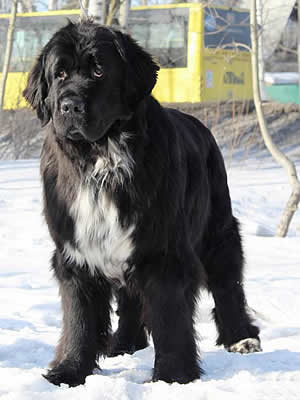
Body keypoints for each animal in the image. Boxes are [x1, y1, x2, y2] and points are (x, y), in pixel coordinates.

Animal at [23, 19, 262, 388]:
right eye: (59, 74)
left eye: (98, 70)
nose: (70, 105)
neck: (101, 160)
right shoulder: (76, 253)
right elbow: (79, 320)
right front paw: (69, 371)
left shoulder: (164, 251)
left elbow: (169, 317)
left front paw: (172, 377)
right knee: (129, 298)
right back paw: (124, 344)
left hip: (218, 230)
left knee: (228, 283)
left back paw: (241, 337)